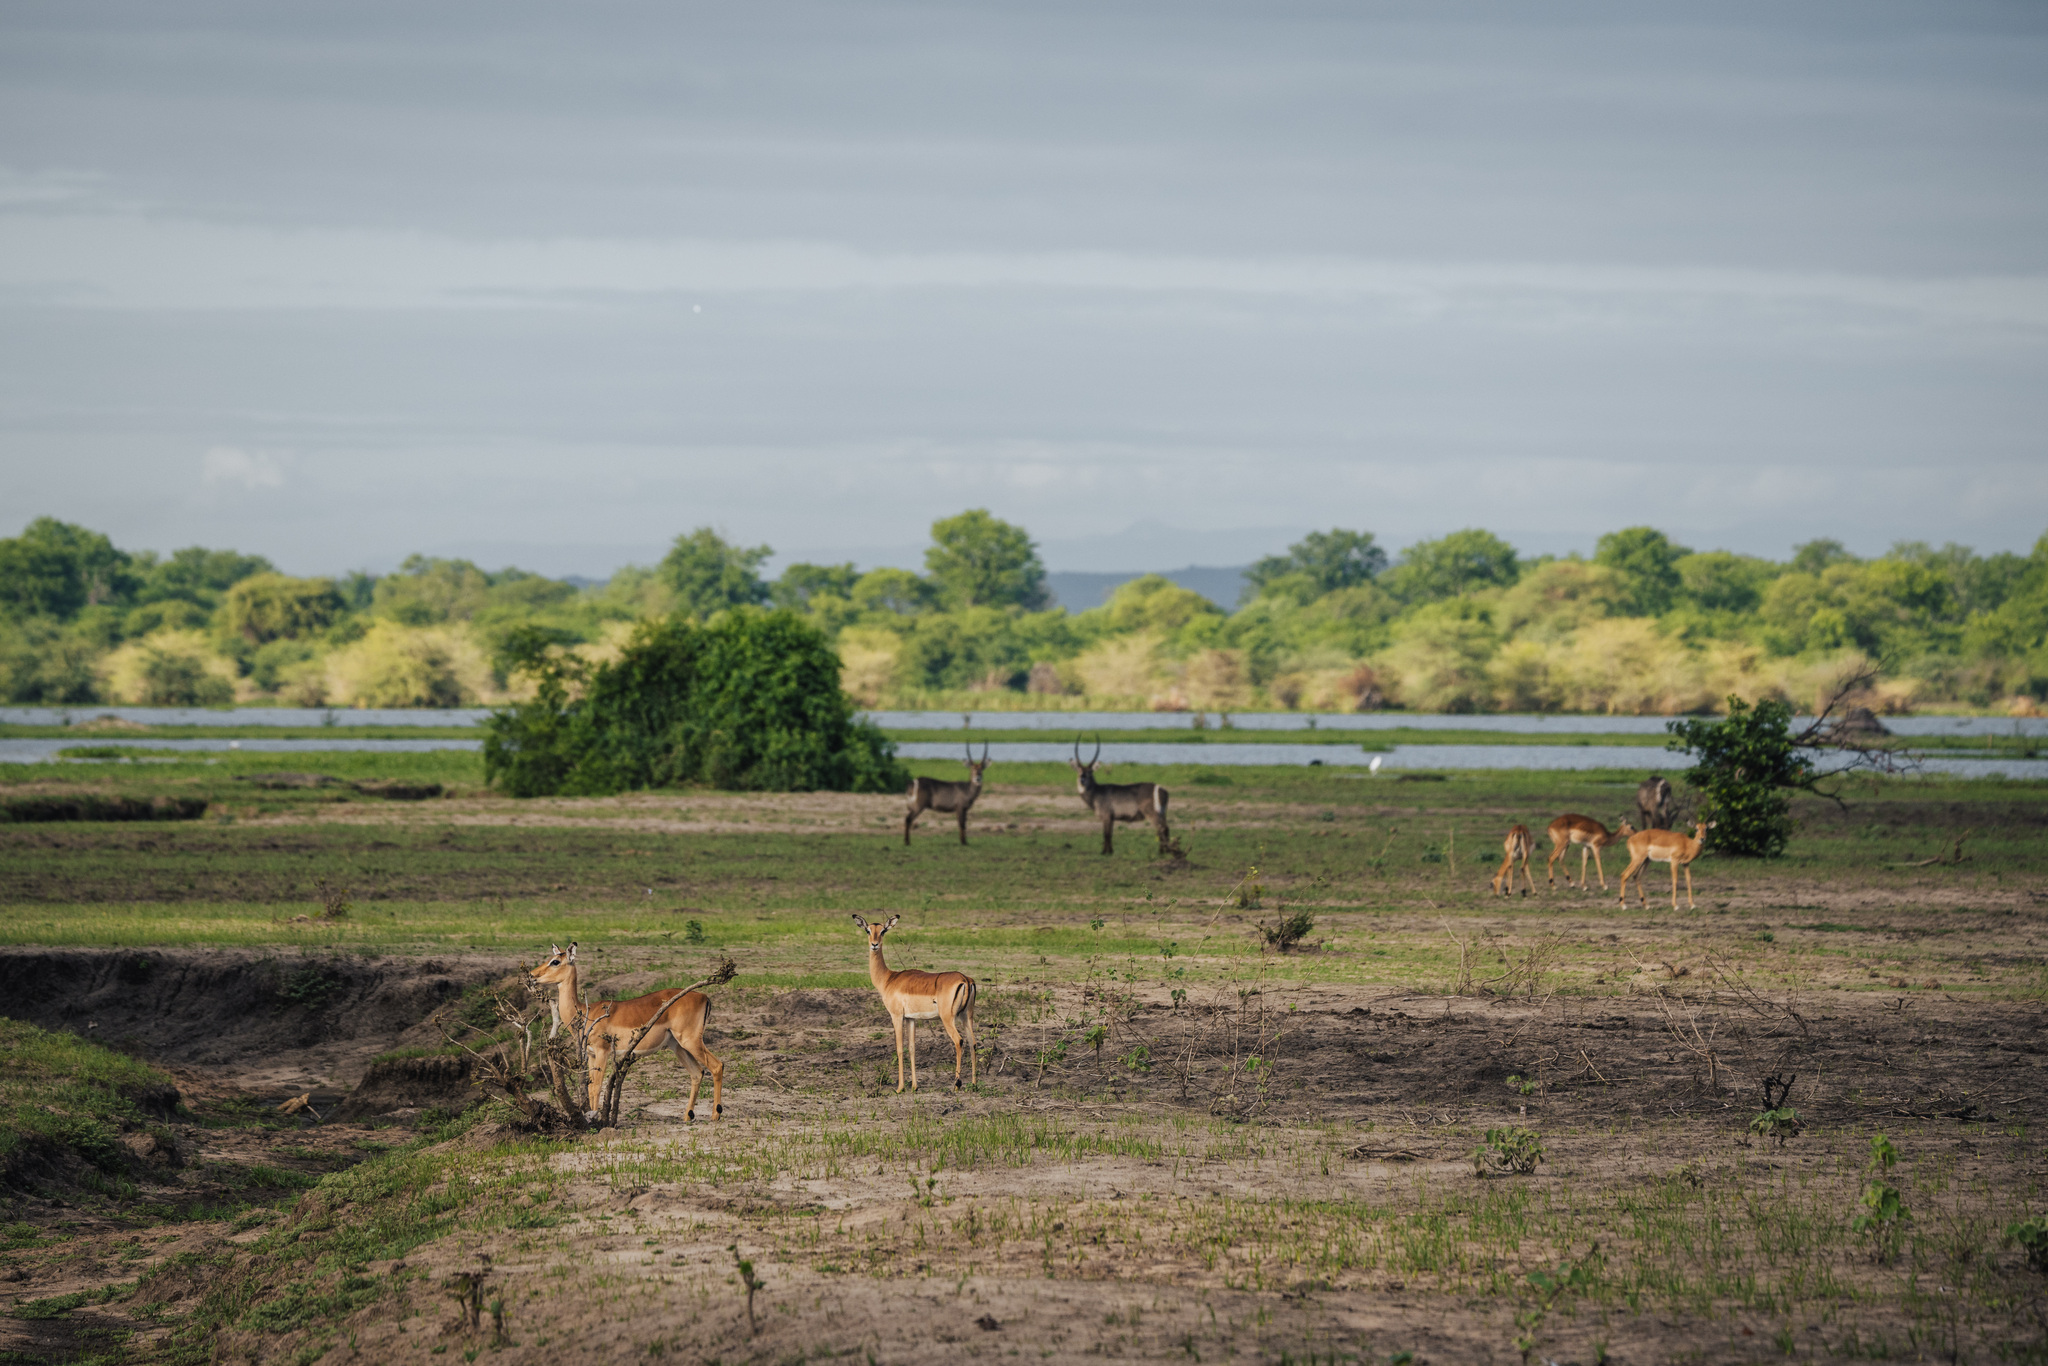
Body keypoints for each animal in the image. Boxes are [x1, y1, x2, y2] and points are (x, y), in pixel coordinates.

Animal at [529, 942, 725, 1121]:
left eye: (555, 961)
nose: (531, 975)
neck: (586, 1013)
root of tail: (704, 997)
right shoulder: (591, 1054)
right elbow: (591, 1088)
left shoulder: (602, 1052)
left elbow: (597, 1087)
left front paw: (598, 1120)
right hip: (678, 1046)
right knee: (697, 1073)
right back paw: (687, 1116)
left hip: (690, 1041)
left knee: (717, 1066)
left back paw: (715, 1115)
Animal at [852, 914, 978, 1092]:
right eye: (868, 930)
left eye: (883, 931)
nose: (874, 944)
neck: (888, 979)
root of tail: (965, 979)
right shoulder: (911, 1019)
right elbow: (912, 1048)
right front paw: (914, 1086)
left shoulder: (896, 1016)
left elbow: (899, 1049)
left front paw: (900, 1088)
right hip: (967, 1017)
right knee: (973, 1042)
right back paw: (974, 1084)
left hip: (948, 1018)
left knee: (959, 1041)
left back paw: (957, 1084)